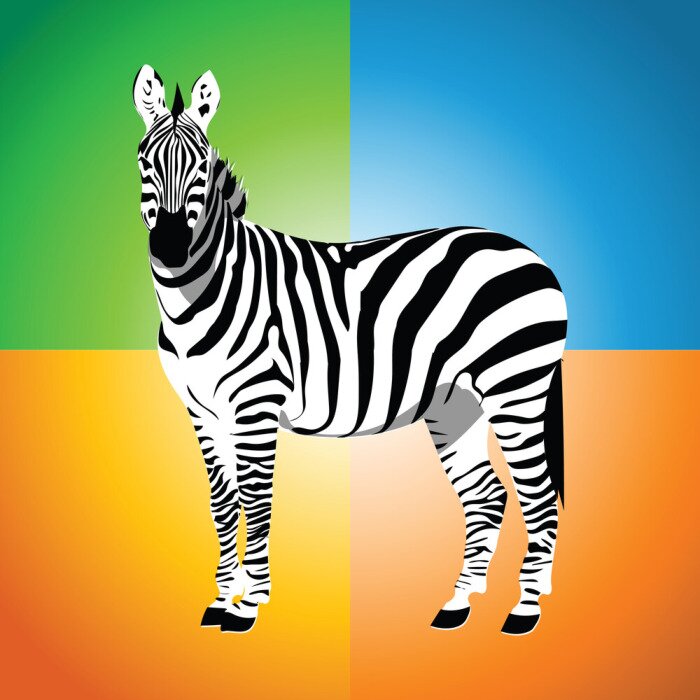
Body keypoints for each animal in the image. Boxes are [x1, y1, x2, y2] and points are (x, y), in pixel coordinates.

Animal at [133, 64, 567, 636]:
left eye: (201, 166)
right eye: (144, 161)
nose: (170, 249)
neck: (197, 299)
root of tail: (530, 253)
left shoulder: (255, 403)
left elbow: (256, 498)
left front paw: (248, 607)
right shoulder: (202, 412)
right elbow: (223, 505)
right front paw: (223, 599)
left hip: (516, 388)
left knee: (538, 495)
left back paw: (525, 609)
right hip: (457, 404)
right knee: (488, 496)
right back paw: (459, 604)